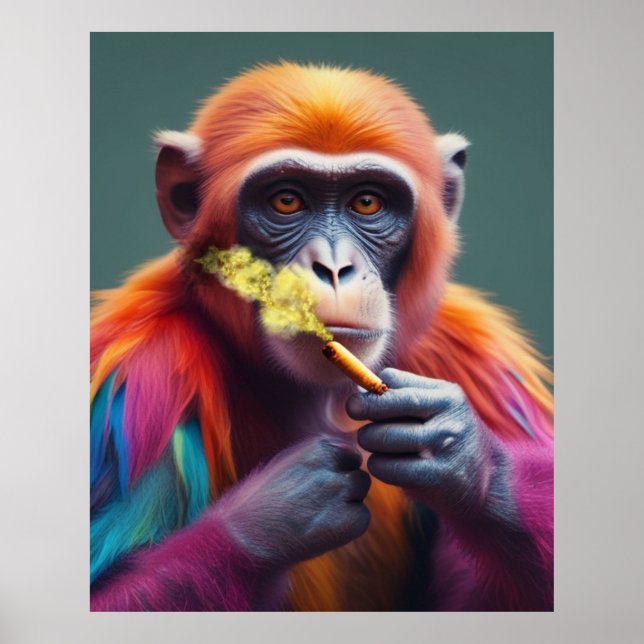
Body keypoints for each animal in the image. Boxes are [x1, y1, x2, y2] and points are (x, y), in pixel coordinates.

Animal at [90, 61, 553, 611]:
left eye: (368, 202)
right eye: (286, 200)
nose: (334, 268)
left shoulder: (481, 356)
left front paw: (464, 457)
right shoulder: (143, 376)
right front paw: (270, 519)